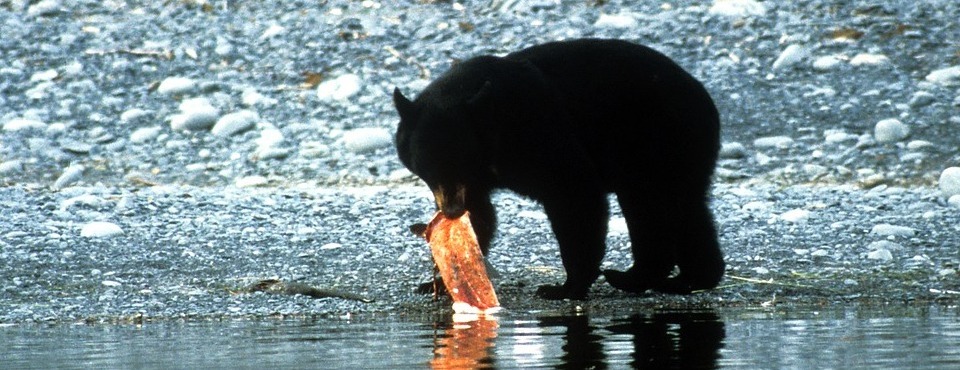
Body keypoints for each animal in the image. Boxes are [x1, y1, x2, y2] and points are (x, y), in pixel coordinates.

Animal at [394, 37, 724, 300]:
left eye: (460, 161)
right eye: (428, 168)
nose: (451, 210)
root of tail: (704, 96)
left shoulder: (539, 133)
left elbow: (574, 193)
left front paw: (566, 287)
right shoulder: (473, 180)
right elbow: (481, 214)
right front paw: (437, 280)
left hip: (655, 141)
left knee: (651, 208)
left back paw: (633, 277)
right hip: (680, 153)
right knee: (690, 208)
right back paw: (691, 279)